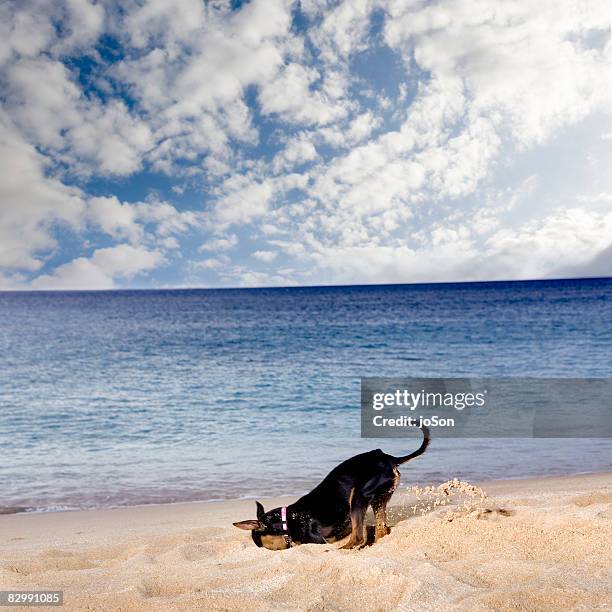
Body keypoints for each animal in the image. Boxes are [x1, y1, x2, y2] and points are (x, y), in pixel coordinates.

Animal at [234, 426, 430, 548]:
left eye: (261, 544)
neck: (287, 519)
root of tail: (388, 458)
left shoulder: (317, 540)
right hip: (379, 500)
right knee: (381, 531)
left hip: (357, 497)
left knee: (357, 538)